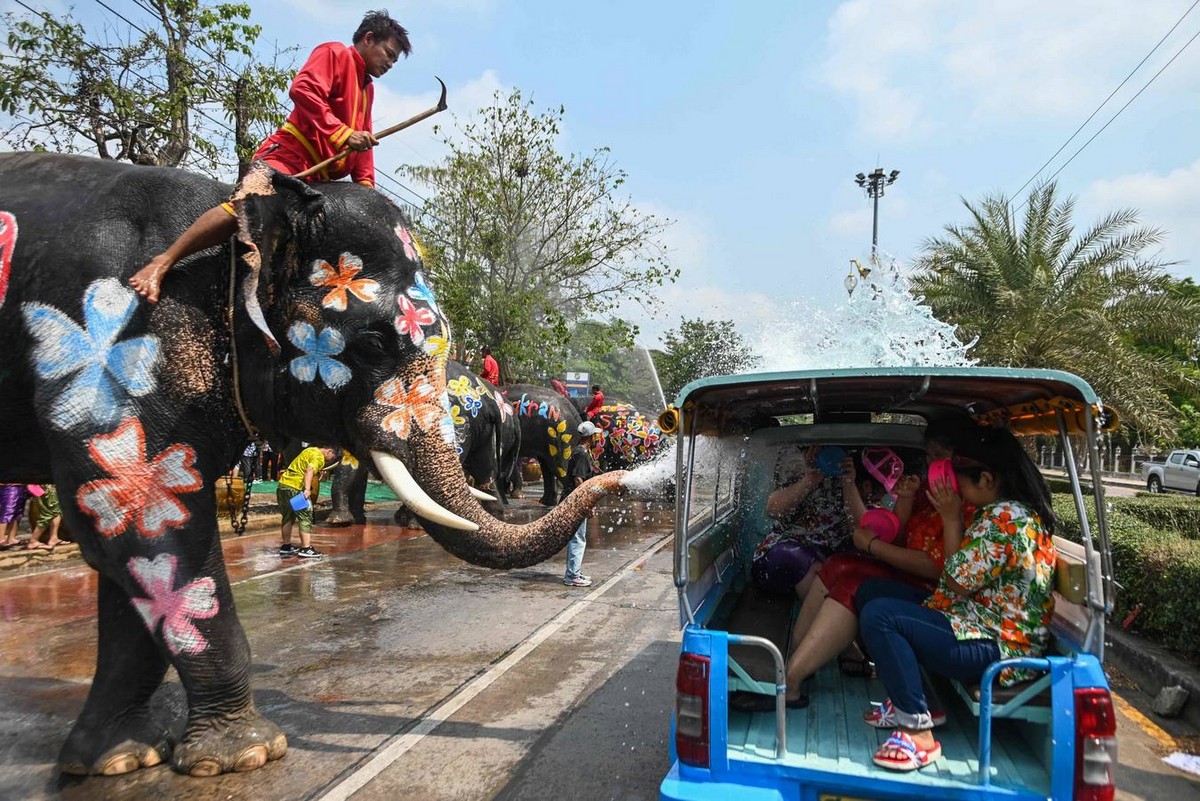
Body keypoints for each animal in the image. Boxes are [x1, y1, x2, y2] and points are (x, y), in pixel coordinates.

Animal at [0, 153, 624, 777]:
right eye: (373, 345)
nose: (619, 482)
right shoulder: (110, 372)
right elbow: (136, 527)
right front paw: (177, 757)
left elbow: (135, 536)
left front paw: (181, 757)